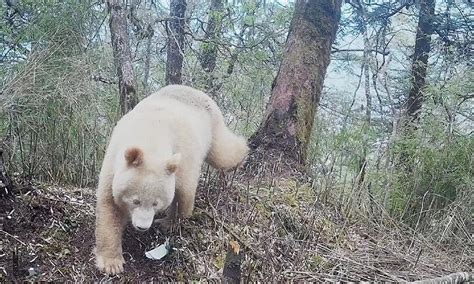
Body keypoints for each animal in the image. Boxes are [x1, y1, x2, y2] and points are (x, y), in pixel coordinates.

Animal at [92, 84, 248, 276]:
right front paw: (111, 263)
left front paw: (170, 222)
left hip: (213, 126)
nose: (142, 227)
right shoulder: (114, 159)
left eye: (155, 203)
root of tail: (196, 91)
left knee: (223, 153)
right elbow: (109, 206)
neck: (150, 133)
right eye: (135, 201)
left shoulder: (182, 154)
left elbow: (184, 192)